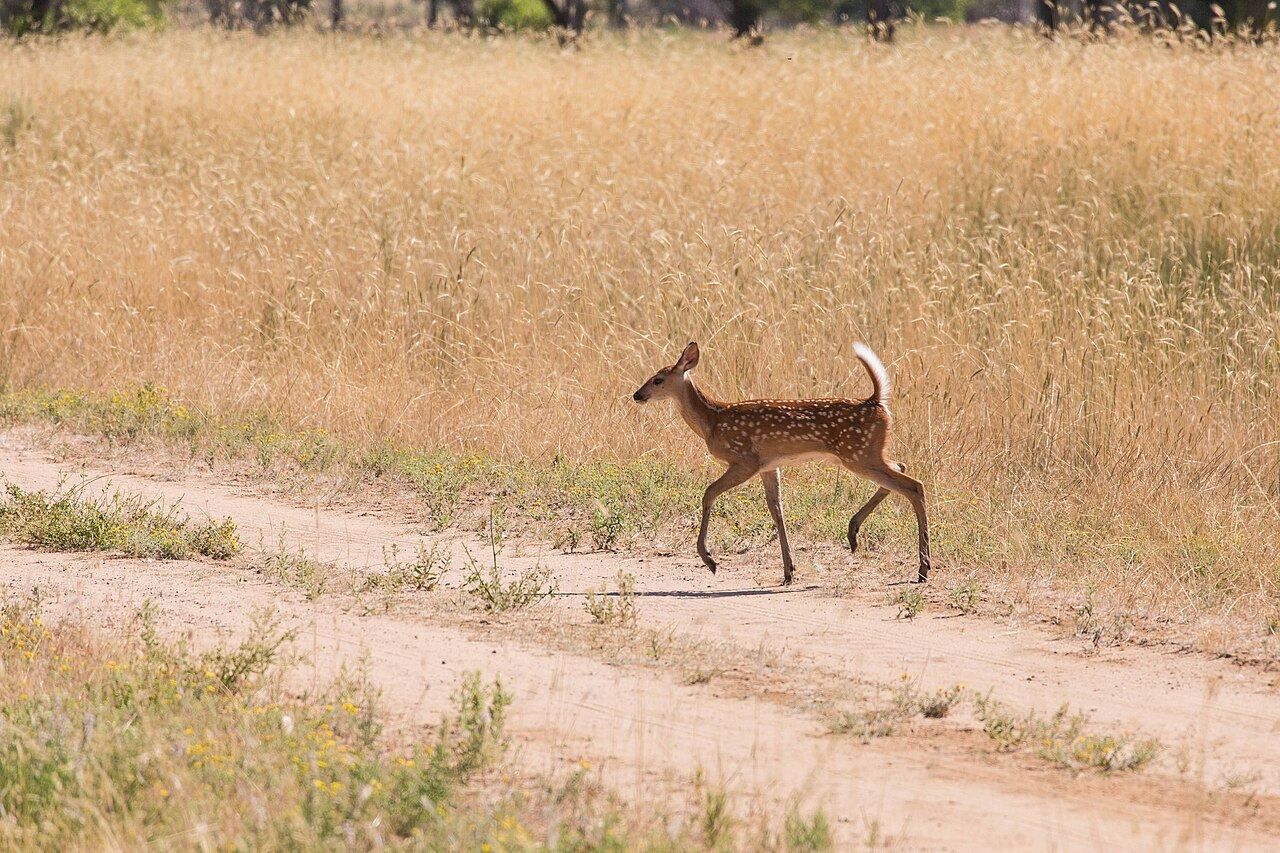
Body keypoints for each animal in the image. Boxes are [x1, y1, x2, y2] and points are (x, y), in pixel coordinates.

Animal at [632, 341, 930, 586]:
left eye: (657, 379)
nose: (637, 395)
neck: (712, 421)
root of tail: (876, 401)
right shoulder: (768, 466)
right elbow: (777, 511)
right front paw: (788, 571)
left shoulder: (745, 460)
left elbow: (709, 493)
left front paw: (709, 560)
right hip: (868, 454)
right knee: (901, 467)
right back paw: (854, 532)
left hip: (859, 454)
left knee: (913, 485)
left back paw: (923, 569)